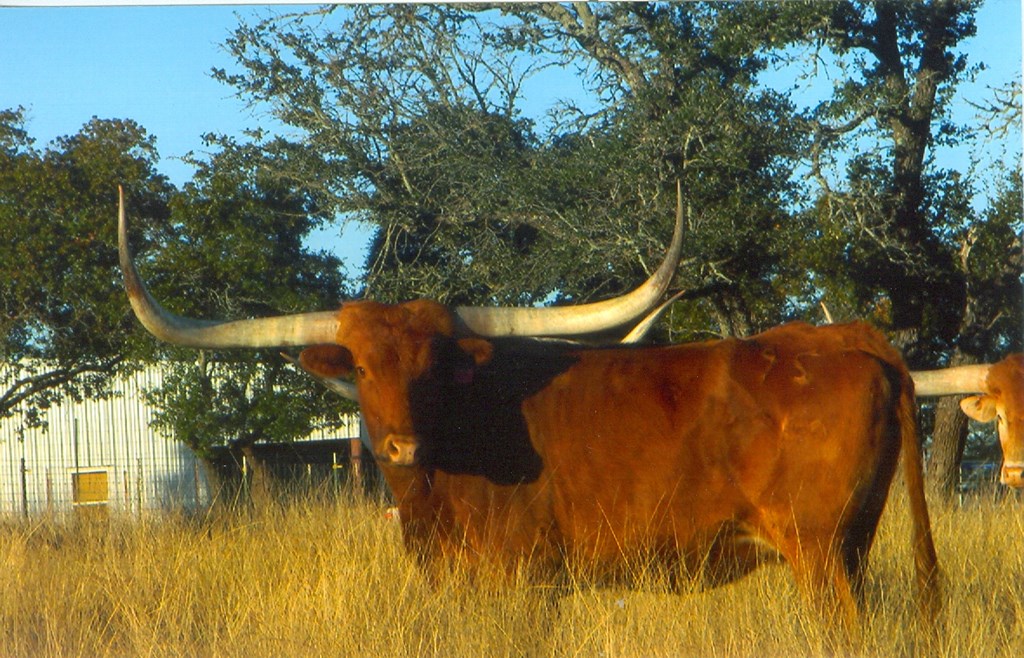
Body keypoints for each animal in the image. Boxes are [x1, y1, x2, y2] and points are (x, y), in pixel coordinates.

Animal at [118, 187, 939, 628]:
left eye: (434, 367)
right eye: (362, 367)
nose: (402, 447)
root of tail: (852, 337)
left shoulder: (525, 580)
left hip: (820, 556)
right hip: (851, 551)